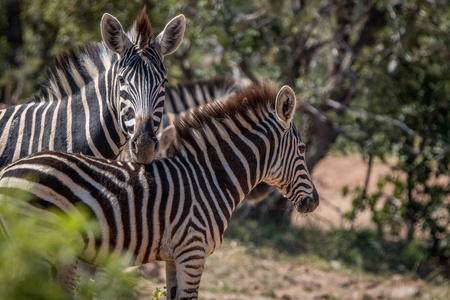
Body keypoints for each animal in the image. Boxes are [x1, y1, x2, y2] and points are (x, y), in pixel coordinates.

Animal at [0, 83, 320, 298]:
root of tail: (7, 172)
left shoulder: (173, 256)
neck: (211, 177)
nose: (314, 202)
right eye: (303, 149)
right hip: (38, 241)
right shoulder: (193, 250)